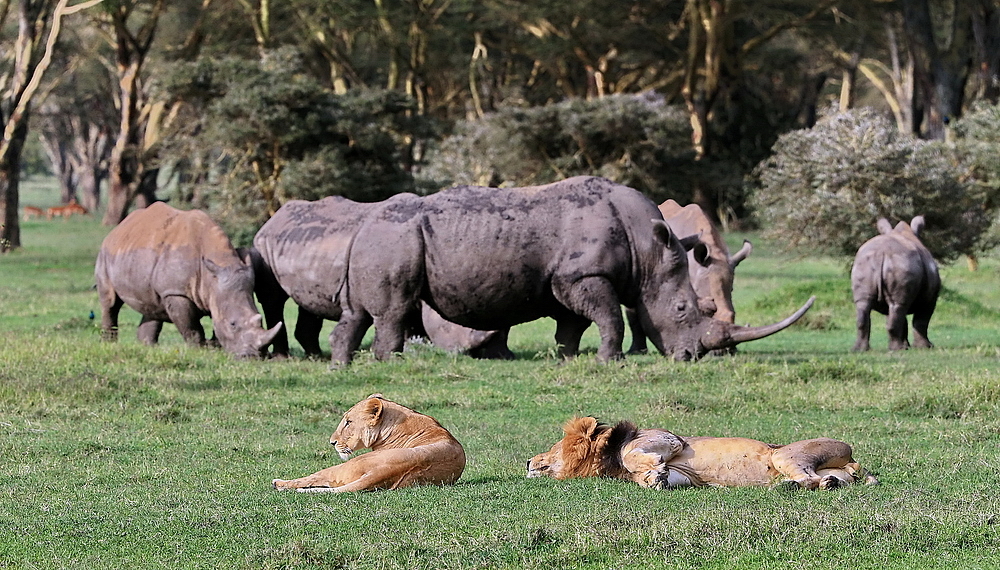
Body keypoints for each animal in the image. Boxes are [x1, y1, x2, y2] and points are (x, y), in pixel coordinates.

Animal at [270, 392, 464, 490]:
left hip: (346, 466)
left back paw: (279, 484)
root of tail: (383, 470)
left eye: (348, 422)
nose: (332, 442)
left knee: (318, 477)